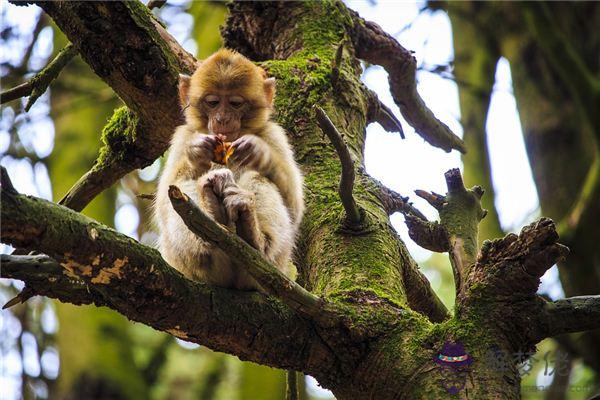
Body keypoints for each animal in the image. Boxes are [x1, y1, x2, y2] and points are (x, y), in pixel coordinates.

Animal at [155, 48, 304, 290]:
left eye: (235, 103)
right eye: (213, 102)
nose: (222, 118)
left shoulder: (274, 133)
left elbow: (295, 207)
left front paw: (259, 152)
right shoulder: (183, 136)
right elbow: (164, 196)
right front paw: (197, 153)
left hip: (278, 263)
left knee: (258, 178)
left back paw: (256, 238)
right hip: (181, 261)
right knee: (182, 189)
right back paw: (208, 223)